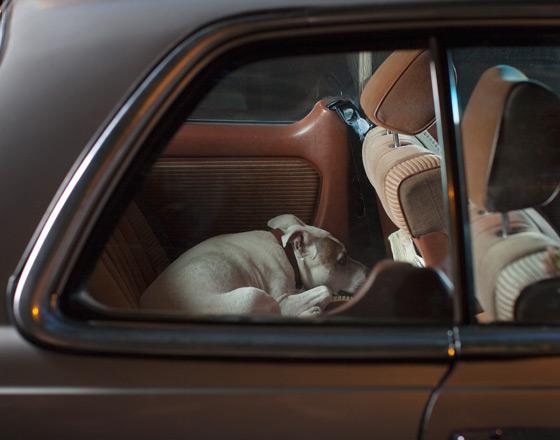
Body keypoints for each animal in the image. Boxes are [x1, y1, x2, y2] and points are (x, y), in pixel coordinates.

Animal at [140, 214, 368, 314]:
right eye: (342, 260)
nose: (368, 271)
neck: (289, 256)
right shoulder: (281, 299)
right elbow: (325, 290)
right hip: (252, 296)